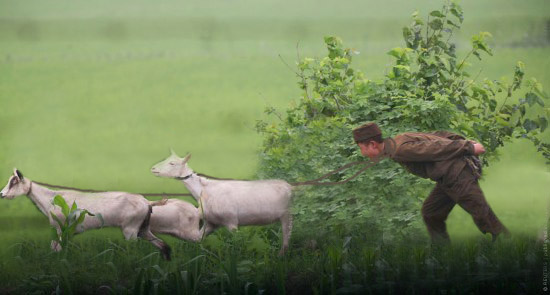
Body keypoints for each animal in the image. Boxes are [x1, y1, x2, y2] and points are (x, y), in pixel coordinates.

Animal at [0, 169, 172, 262]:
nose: (2, 194)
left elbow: (56, 249)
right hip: (143, 228)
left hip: (131, 228)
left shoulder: (59, 228)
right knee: (163, 245)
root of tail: (146, 201)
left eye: (14, 182)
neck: (50, 199)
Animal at [149, 151, 296, 256]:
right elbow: (198, 238)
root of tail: (289, 186)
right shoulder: (211, 222)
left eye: (172, 163)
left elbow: (237, 243)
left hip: (286, 214)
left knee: (287, 235)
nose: (153, 168)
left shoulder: (231, 221)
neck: (204, 189)